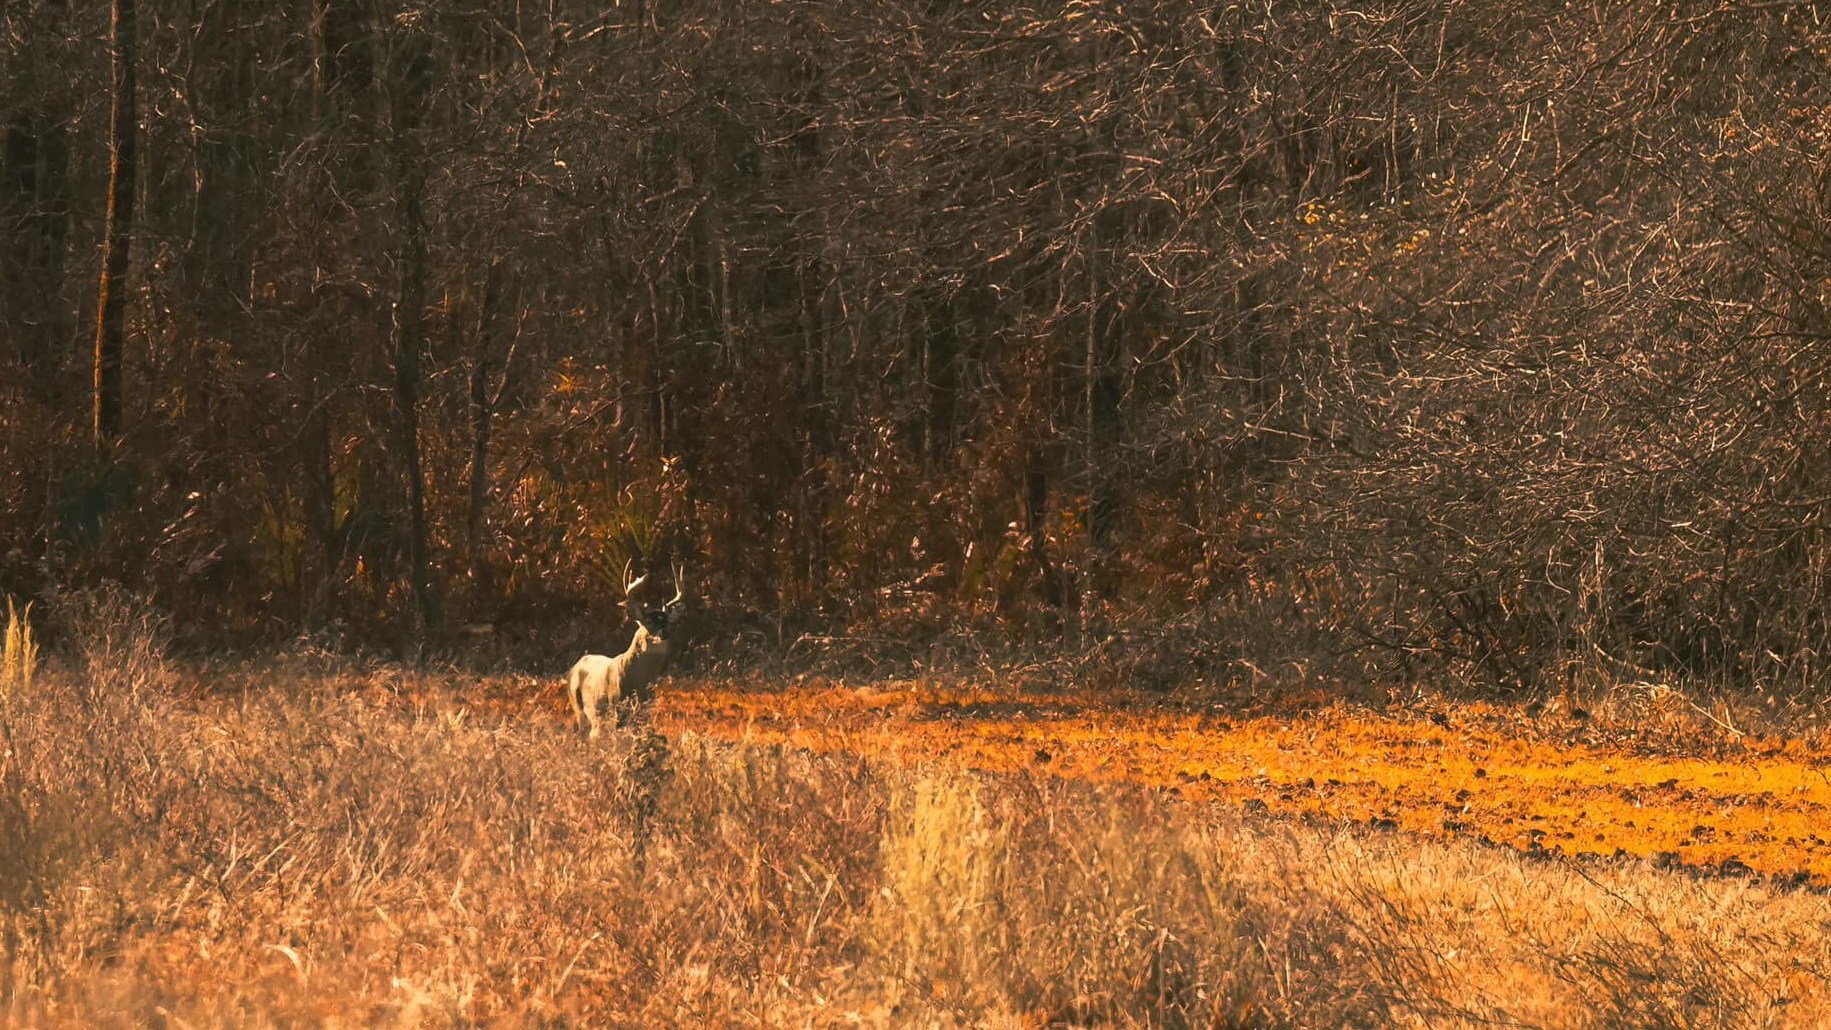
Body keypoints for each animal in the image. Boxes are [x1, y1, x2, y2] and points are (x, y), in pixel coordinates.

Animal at [567, 561, 686, 740]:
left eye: (668, 622)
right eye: (648, 621)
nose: (664, 634)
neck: (639, 680)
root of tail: (572, 668)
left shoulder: (647, 705)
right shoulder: (616, 702)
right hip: (577, 705)